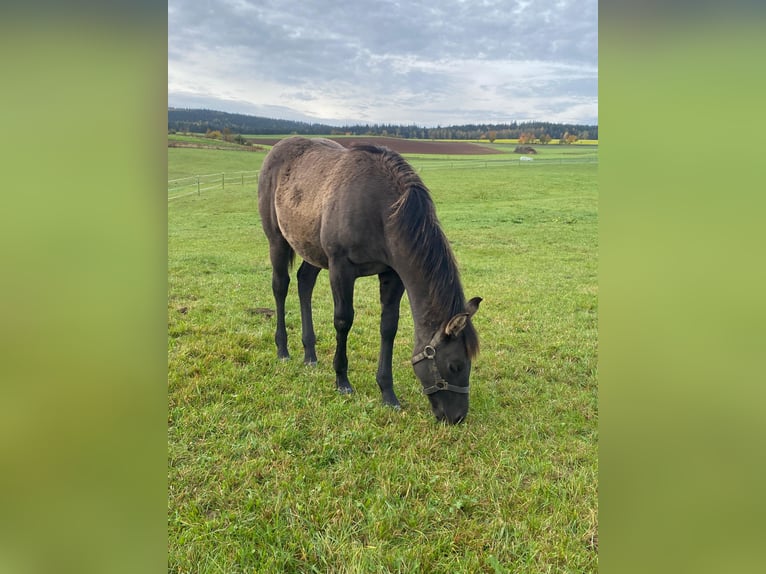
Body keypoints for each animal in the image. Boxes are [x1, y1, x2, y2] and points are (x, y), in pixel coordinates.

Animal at [260, 135, 484, 424]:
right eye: (454, 365)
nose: (457, 417)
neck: (381, 210)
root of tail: (278, 147)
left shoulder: (392, 274)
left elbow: (388, 327)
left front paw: (387, 393)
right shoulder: (341, 268)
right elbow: (343, 321)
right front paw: (342, 380)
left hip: (312, 250)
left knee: (304, 283)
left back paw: (310, 354)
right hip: (277, 240)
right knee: (280, 287)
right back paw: (283, 349)